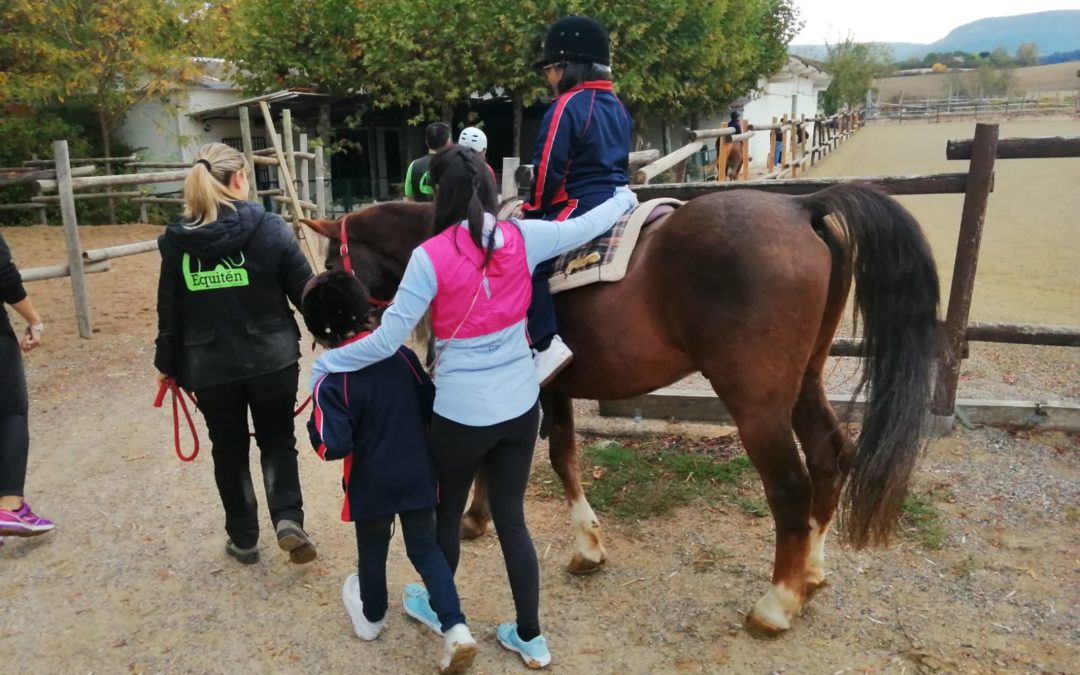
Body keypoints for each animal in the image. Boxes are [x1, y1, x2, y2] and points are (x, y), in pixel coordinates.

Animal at [302, 181, 937, 635]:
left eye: (334, 258)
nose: (324, 326)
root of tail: (801, 205)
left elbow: (543, 456)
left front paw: (579, 544)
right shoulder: (547, 390)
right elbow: (550, 453)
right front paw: (499, 521)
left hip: (757, 404)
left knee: (789, 487)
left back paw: (776, 603)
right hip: (803, 380)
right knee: (831, 456)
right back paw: (812, 573)